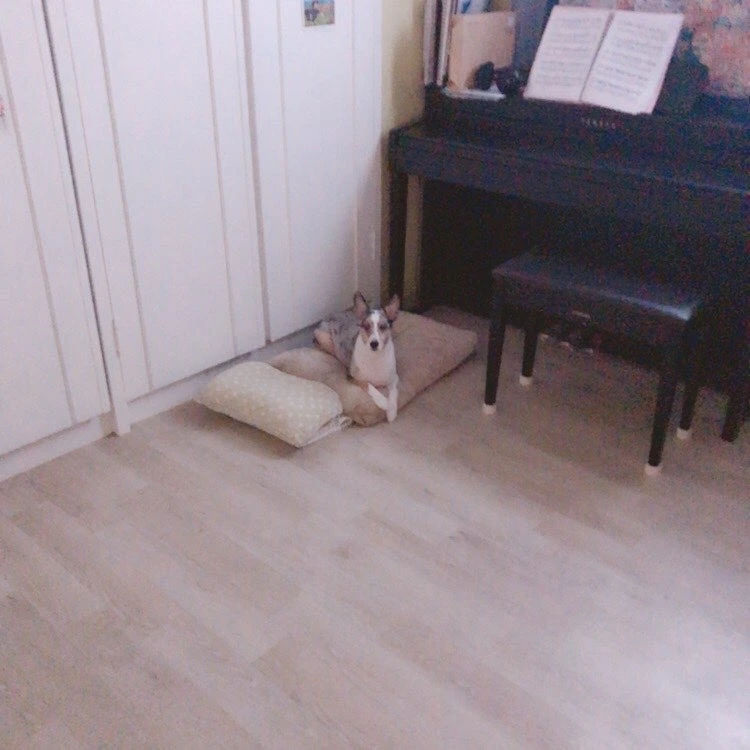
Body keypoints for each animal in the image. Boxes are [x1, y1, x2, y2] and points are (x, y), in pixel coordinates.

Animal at [314, 292, 400, 422]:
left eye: (383, 327)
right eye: (366, 326)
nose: (374, 344)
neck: (375, 357)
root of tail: (333, 313)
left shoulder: (394, 377)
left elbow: (394, 392)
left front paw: (392, 412)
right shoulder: (352, 377)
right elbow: (369, 385)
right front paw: (385, 404)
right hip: (322, 336)